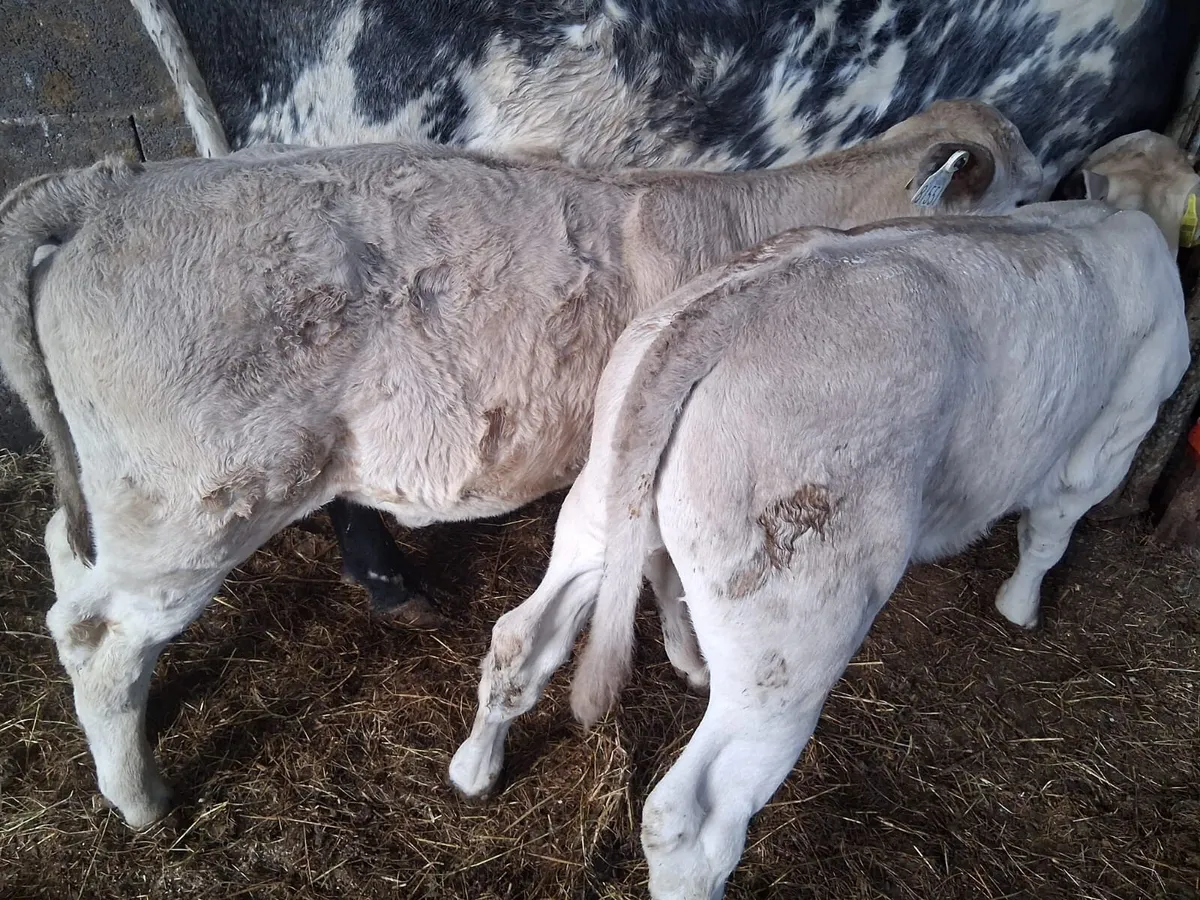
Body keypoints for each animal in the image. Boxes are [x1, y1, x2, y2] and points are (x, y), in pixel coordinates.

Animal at [0, 100, 1041, 829]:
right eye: (1025, 197)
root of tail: (111, 184)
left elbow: (654, 573)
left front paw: (681, 650)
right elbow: (653, 574)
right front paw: (686, 653)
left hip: (124, 500)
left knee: (62, 556)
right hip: (194, 506)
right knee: (96, 637)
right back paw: (139, 797)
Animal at [447, 130, 1198, 900]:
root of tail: (725, 313)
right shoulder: (1113, 437)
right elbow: (1048, 535)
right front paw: (1019, 608)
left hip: (602, 505)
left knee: (518, 640)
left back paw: (476, 772)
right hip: (792, 634)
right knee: (690, 817)